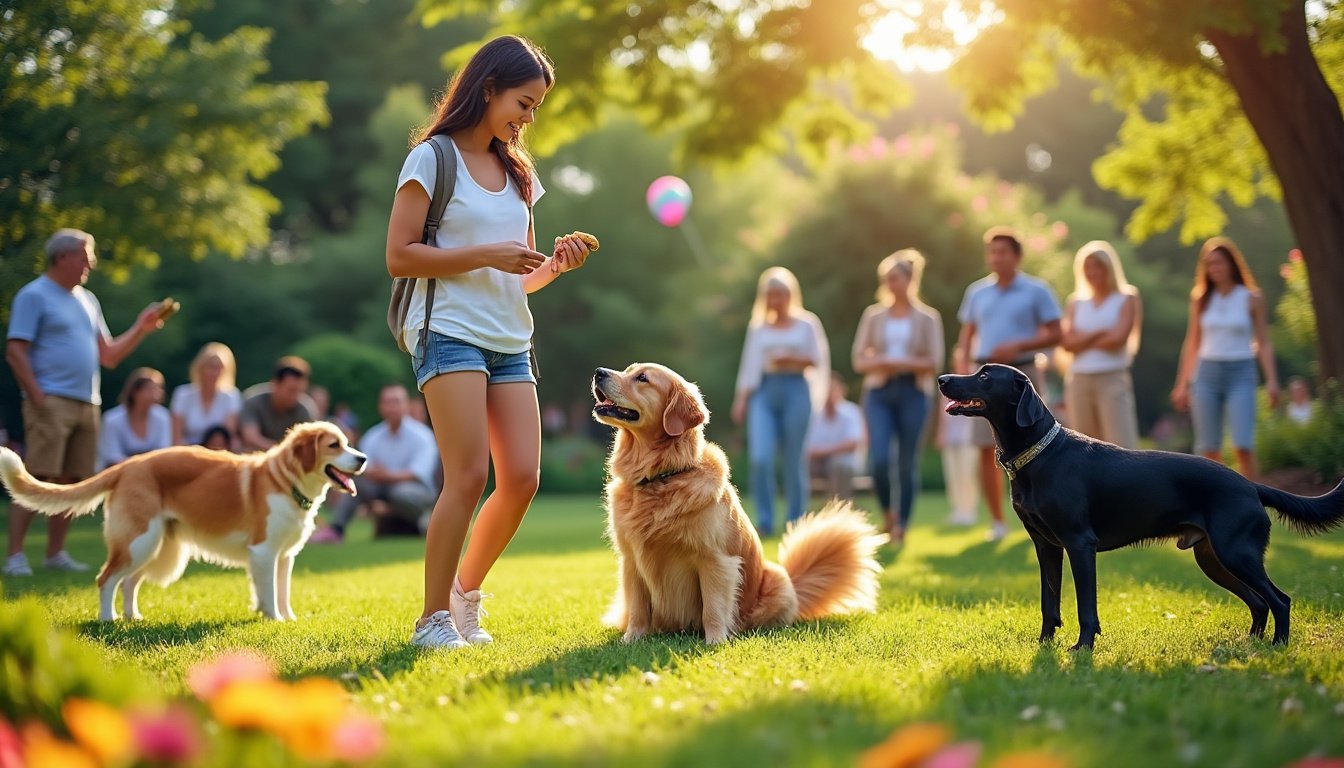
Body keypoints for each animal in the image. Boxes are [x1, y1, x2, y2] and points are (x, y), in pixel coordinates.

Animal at [0, 425, 368, 621]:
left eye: (348, 443)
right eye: (334, 445)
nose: (363, 459)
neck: (286, 482)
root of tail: (127, 466)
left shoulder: (284, 556)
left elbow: (282, 591)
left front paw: (286, 617)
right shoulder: (264, 553)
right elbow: (268, 592)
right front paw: (274, 620)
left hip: (154, 547)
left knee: (129, 582)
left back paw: (133, 617)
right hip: (139, 542)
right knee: (106, 579)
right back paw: (108, 619)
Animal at [594, 365, 887, 642]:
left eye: (642, 378)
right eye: (628, 370)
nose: (599, 372)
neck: (662, 476)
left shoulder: (714, 559)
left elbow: (712, 607)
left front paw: (715, 641)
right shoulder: (631, 560)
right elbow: (638, 608)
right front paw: (632, 640)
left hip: (778, 580)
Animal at [935, 365, 1344, 648]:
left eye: (985, 375)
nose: (941, 378)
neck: (1040, 456)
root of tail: (1251, 486)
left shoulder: (1079, 544)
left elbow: (1086, 606)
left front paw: (1082, 649)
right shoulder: (1046, 546)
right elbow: (1049, 603)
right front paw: (1043, 646)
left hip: (1237, 553)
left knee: (1280, 600)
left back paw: (1277, 647)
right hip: (1213, 558)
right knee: (1259, 602)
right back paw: (1252, 644)